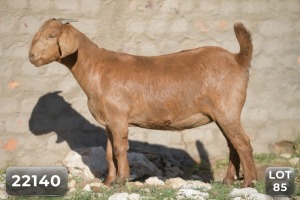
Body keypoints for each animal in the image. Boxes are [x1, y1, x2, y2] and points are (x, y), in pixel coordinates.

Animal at [28, 18, 258, 187]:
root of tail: (238, 59)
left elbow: (120, 149)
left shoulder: (119, 118)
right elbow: (109, 152)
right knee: (233, 144)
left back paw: (249, 182)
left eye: (52, 35)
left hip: (227, 109)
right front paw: (109, 182)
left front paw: (122, 180)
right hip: (222, 114)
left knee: (243, 142)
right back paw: (228, 181)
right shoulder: (110, 122)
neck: (96, 68)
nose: (31, 57)